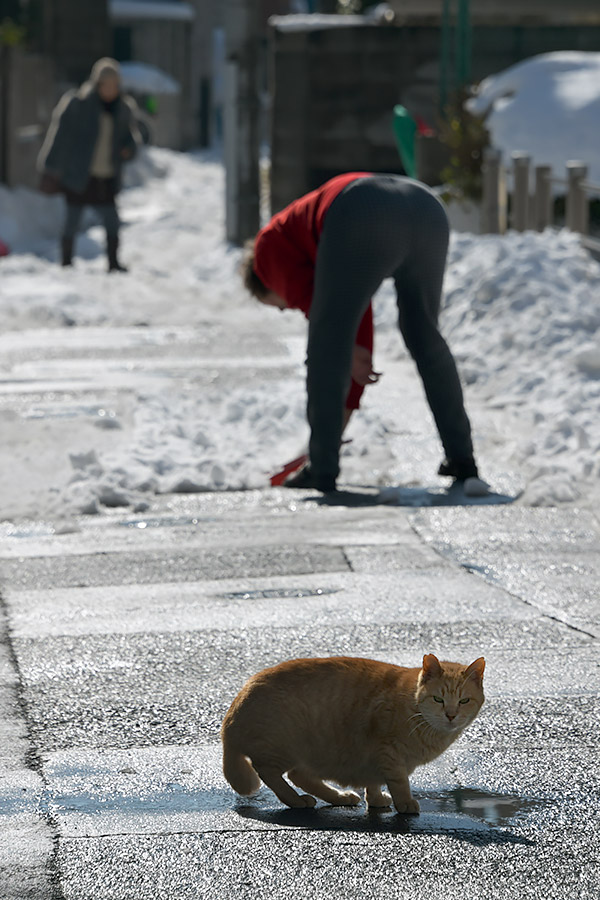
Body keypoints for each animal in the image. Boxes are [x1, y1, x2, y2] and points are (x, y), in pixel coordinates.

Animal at [223, 652, 486, 816]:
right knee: (269, 772)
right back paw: (295, 800)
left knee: (300, 776)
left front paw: (377, 800)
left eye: (464, 701)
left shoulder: (373, 756)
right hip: (285, 746)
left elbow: (374, 781)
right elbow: (399, 781)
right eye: (438, 699)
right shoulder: (388, 751)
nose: (451, 715)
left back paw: (339, 797)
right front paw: (404, 802)